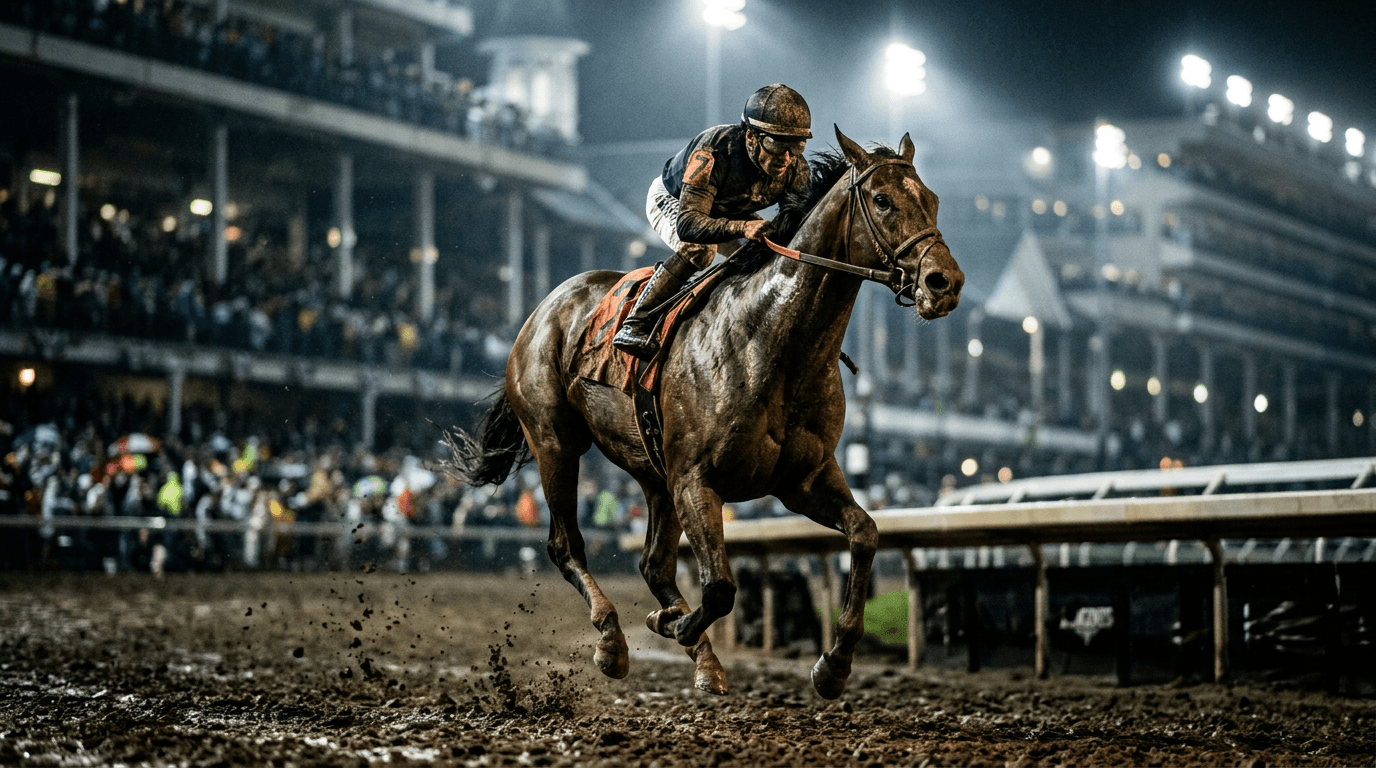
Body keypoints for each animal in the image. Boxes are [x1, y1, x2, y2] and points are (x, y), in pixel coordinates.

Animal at [445, 126, 963, 699]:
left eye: (933, 200)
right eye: (882, 199)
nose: (945, 282)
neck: (775, 345)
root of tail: (544, 307)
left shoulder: (802, 479)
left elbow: (865, 534)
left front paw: (835, 662)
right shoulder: (697, 479)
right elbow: (719, 587)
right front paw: (667, 624)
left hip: (654, 472)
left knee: (653, 564)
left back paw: (700, 655)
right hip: (556, 442)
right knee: (566, 545)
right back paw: (613, 639)